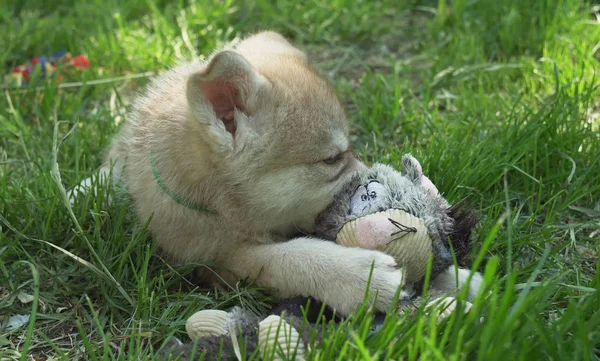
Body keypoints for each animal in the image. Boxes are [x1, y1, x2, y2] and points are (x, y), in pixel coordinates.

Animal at [70, 32, 472, 316]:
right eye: (331, 159)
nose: (375, 182)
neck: (220, 203)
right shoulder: (218, 260)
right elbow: (288, 258)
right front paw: (360, 277)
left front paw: (462, 279)